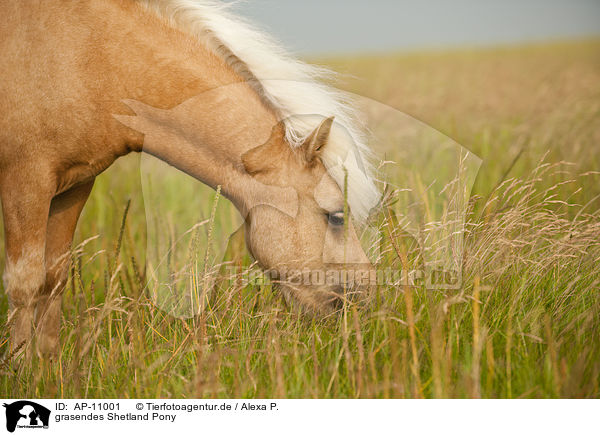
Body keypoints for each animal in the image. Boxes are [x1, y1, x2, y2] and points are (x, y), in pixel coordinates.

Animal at [0, 0, 378, 358]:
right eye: (336, 216)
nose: (365, 300)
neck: (92, 57)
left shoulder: (74, 186)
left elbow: (54, 278)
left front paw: (49, 367)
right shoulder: (26, 183)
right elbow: (25, 283)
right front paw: (23, 369)